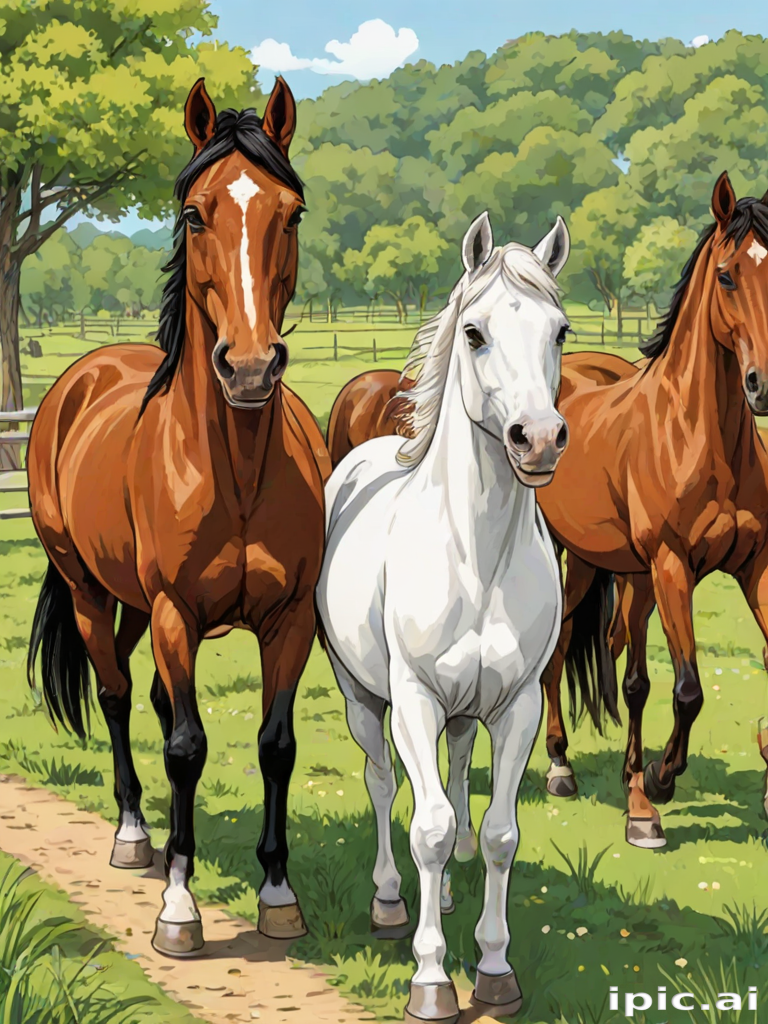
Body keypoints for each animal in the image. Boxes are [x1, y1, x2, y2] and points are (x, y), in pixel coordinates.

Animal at [26, 77, 330, 956]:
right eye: (195, 214)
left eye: (292, 212)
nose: (251, 368)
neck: (235, 470)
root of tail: (82, 376)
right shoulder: (174, 612)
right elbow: (188, 747)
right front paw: (179, 909)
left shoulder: (291, 618)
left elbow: (274, 745)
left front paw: (276, 894)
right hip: (95, 593)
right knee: (119, 697)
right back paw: (136, 837)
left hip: (133, 602)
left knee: (153, 699)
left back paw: (164, 842)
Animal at [316, 211, 572, 1023]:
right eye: (474, 332)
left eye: (560, 330)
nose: (539, 438)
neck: (477, 558)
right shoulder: (417, 699)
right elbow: (425, 827)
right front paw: (431, 982)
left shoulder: (518, 705)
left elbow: (496, 834)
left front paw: (494, 969)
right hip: (366, 700)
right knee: (385, 786)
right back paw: (392, 901)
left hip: (465, 711)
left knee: (456, 779)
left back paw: (452, 897)